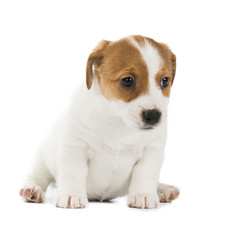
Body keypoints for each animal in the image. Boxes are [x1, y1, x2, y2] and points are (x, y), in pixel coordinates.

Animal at [20, 35, 180, 208]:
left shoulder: (152, 150)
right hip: (42, 159)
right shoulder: (75, 146)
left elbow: (146, 174)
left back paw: (163, 190)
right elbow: (73, 172)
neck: (119, 122)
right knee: (37, 176)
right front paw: (71, 195)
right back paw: (32, 189)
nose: (154, 115)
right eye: (127, 80)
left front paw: (143, 195)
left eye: (165, 81)